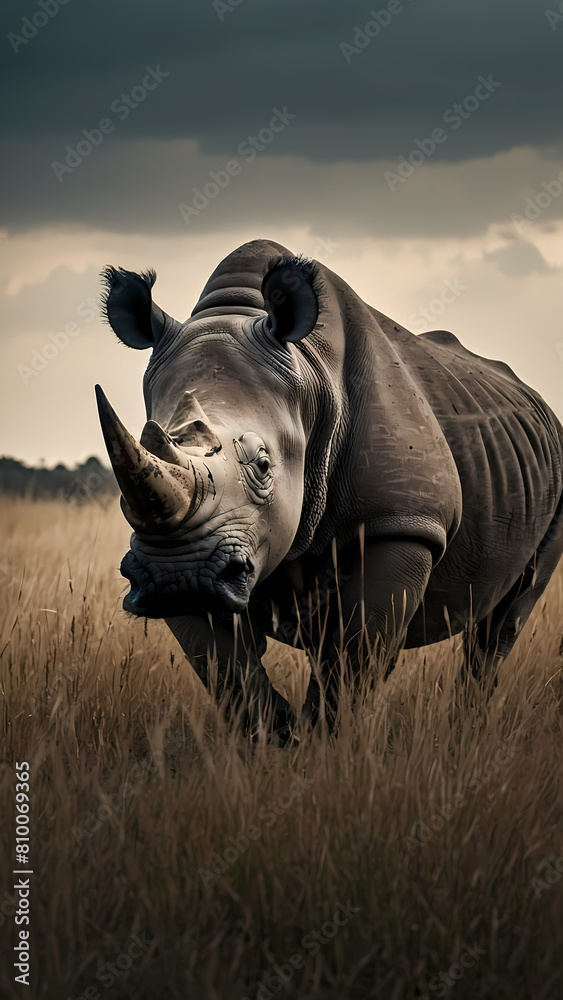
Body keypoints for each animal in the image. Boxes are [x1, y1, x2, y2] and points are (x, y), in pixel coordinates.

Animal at [96, 238, 563, 735]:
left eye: (264, 465)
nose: (175, 574)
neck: (310, 379)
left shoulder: (401, 522)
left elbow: (355, 659)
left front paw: (322, 745)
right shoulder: (191, 546)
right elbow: (228, 671)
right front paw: (279, 735)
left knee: (502, 624)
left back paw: (466, 729)